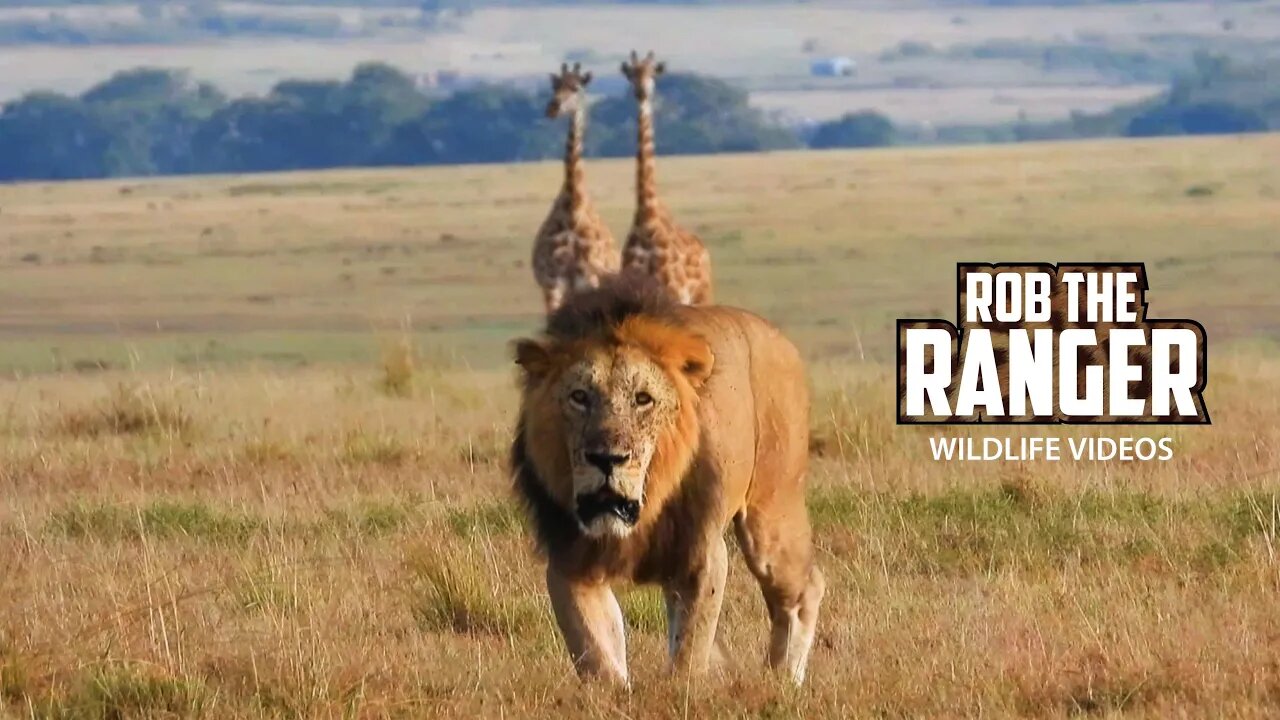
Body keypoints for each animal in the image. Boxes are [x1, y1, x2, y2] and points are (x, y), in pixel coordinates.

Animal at [506, 278, 819, 681]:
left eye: (643, 399)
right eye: (579, 396)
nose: (607, 458)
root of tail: (778, 336)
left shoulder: (702, 552)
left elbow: (689, 653)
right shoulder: (571, 560)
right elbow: (597, 653)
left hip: (771, 513)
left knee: (804, 589)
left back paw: (782, 679)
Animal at [529, 63, 619, 313]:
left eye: (576, 87)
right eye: (555, 86)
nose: (552, 108)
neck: (573, 207)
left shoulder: (589, 282)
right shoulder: (552, 284)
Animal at [616, 50, 716, 302]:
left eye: (653, 73)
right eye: (631, 74)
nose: (641, 92)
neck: (647, 218)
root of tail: (705, 252)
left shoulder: (672, 292)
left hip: (702, 295)